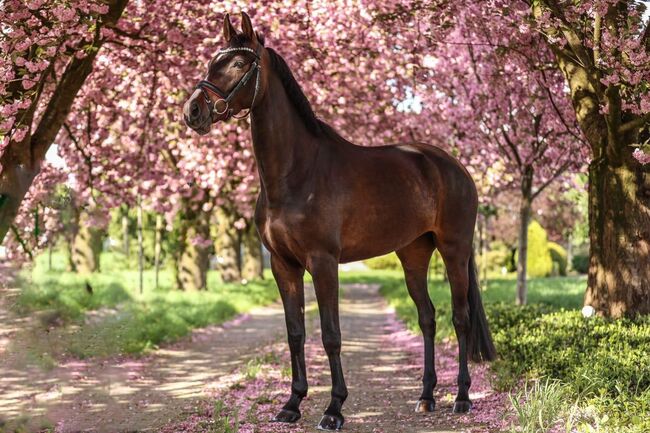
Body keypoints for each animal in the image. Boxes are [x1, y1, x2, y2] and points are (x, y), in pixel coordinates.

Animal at [180, 11, 494, 430]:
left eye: (240, 63)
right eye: (213, 60)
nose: (193, 111)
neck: (296, 172)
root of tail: (453, 166)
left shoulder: (323, 262)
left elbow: (331, 334)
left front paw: (333, 409)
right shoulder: (283, 265)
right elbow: (296, 332)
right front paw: (292, 404)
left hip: (454, 250)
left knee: (460, 318)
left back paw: (461, 397)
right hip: (413, 253)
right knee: (427, 317)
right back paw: (426, 397)